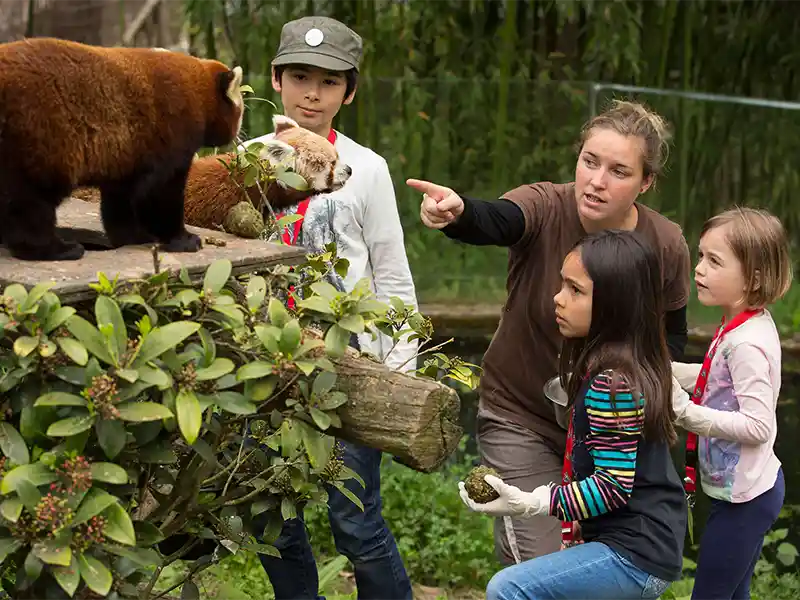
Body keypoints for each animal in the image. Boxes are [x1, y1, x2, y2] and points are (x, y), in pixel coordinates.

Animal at [0, 38, 245, 258]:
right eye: (240, 112)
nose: (238, 133)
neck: (196, 89)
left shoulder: (127, 154)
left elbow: (120, 201)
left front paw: (133, 236)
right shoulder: (172, 132)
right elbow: (159, 194)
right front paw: (182, 239)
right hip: (37, 135)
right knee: (30, 202)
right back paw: (55, 249)